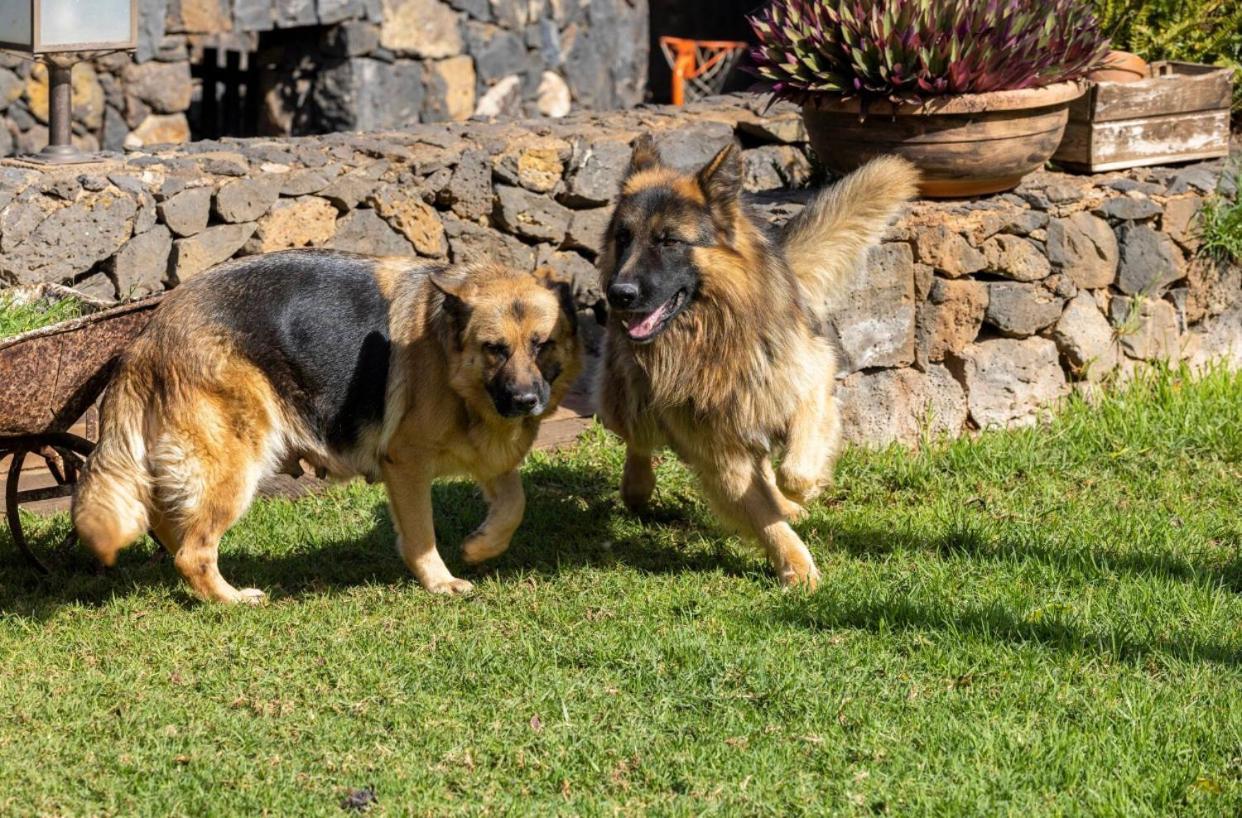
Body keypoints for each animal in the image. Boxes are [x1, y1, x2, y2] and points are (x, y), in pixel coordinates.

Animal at [72, 253, 581, 605]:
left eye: (542, 345)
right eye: (495, 349)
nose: (525, 401)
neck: (447, 353)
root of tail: (148, 335)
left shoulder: (491, 457)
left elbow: (515, 502)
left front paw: (481, 547)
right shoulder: (406, 464)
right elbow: (422, 534)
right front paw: (439, 581)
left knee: (168, 521)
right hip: (236, 466)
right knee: (193, 551)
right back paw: (230, 599)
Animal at [596, 140, 919, 588]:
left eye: (668, 241)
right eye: (623, 238)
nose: (618, 294)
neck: (716, 338)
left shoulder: (810, 386)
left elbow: (794, 471)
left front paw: (800, 494)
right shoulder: (719, 453)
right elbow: (763, 515)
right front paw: (795, 565)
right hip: (628, 404)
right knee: (638, 440)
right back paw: (638, 487)